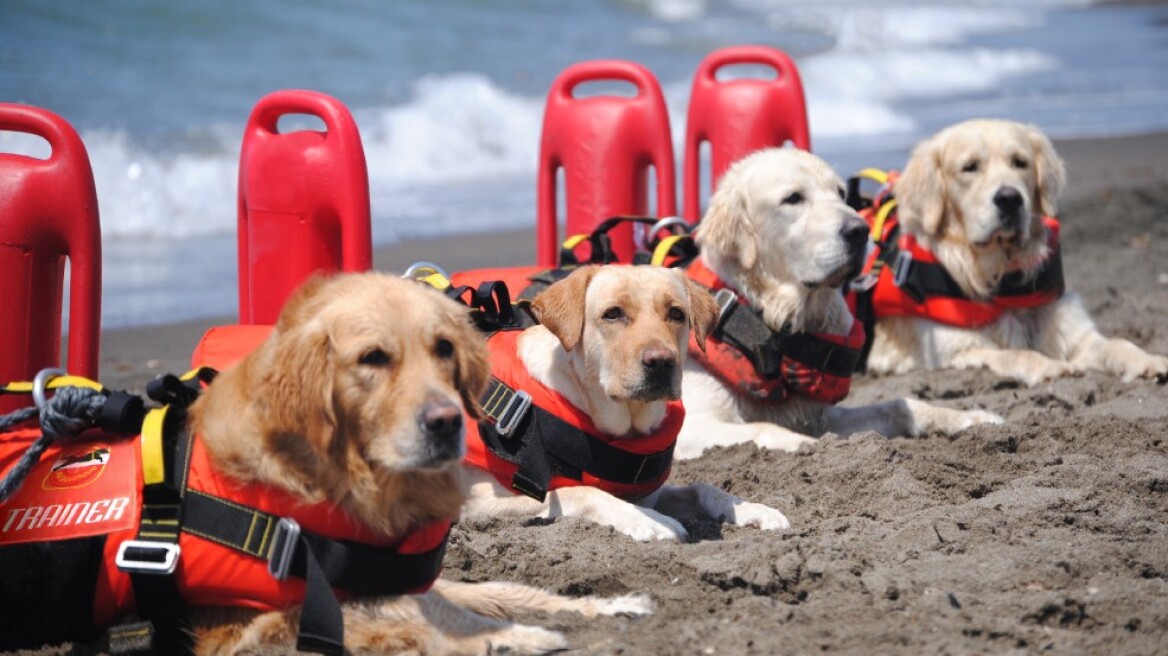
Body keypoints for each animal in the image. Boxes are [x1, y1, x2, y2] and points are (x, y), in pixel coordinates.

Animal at [460, 262, 789, 539]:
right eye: (613, 313)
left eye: (677, 314)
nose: (661, 361)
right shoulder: (478, 499)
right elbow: (583, 491)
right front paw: (648, 520)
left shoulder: (652, 492)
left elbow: (702, 487)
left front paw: (751, 509)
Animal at [672, 147, 999, 459]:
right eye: (793, 198)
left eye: (841, 193)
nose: (859, 231)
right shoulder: (692, 426)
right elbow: (766, 428)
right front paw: (808, 446)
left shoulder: (820, 415)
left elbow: (897, 405)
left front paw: (971, 418)